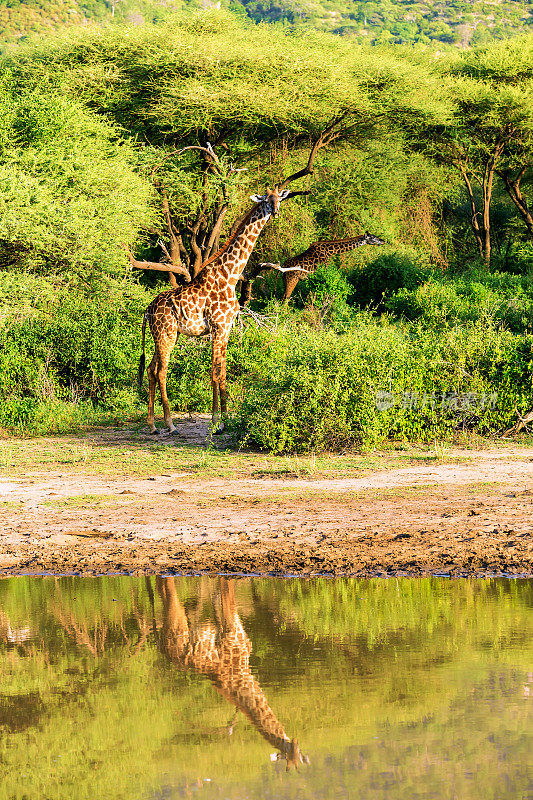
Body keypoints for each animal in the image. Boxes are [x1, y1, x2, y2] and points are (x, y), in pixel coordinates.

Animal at [137, 185, 294, 434]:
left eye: (279, 198)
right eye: (266, 200)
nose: (276, 211)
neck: (230, 275)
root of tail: (147, 310)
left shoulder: (227, 328)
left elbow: (223, 372)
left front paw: (226, 420)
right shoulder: (218, 327)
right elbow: (215, 372)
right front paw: (215, 422)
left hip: (164, 335)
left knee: (151, 370)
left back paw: (153, 425)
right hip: (165, 334)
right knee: (161, 371)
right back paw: (170, 424)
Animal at [156, 580, 308, 772]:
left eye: (299, 756)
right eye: (287, 754)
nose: (294, 741)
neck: (243, 674)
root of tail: (163, 647)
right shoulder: (231, 626)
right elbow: (227, 592)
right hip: (179, 622)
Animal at [239, 233, 384, 308]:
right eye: (373, 237)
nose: (383, 241)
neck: (331, 251)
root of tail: (282, 269)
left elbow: (313, 294)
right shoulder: (325, 270)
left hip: (285, 280)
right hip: (292, 280)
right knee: (285, 299)